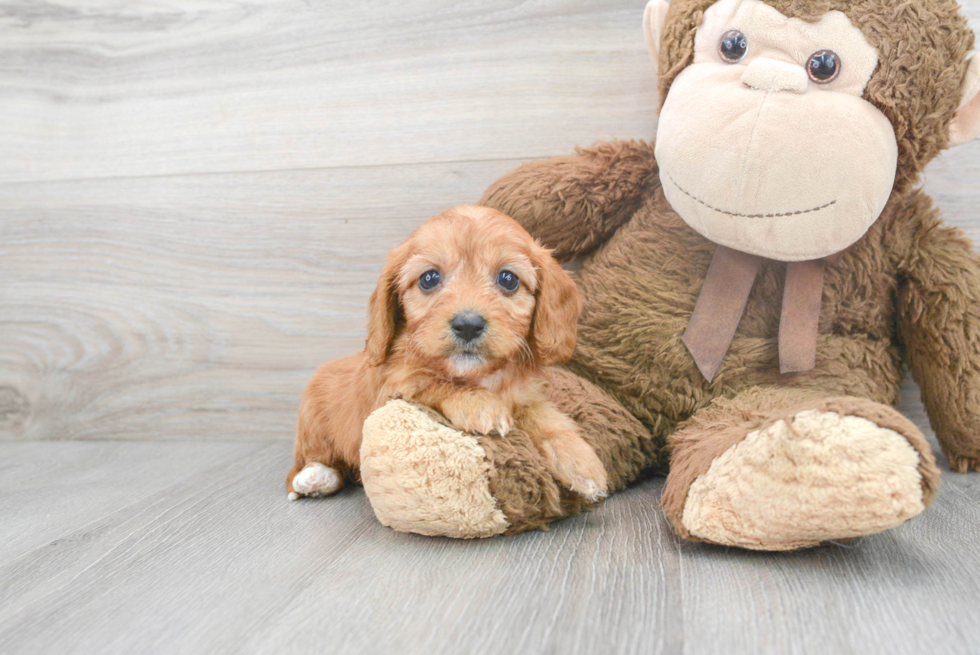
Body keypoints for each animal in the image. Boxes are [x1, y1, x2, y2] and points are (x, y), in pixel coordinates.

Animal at [286, 205, 604, 502]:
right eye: (429, 278)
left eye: (508, 279)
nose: (468, 325)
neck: (479, 376)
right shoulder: (394, 388)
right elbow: (435, 383)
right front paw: (479, 404)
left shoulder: (525, 395)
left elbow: (546, 418)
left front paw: (580, 460)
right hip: (311, 423)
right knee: (308, 462)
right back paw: (316, 477)